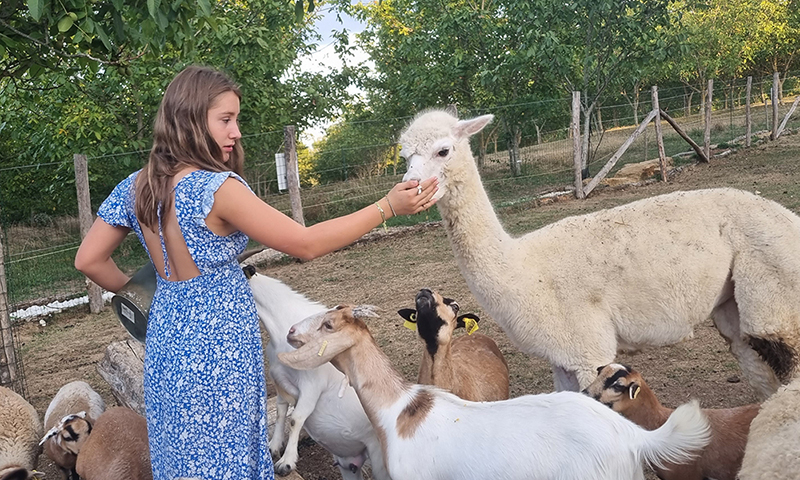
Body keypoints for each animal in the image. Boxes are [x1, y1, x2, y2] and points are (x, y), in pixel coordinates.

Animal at [245, 266, 392, 480]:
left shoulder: (311, 385)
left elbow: (296, 418)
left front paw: (286, 463)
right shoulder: (280, 382)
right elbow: (281, 411)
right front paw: (273, 447)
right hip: (346, 461)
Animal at [400, 109, 800, 398]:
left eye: (443, 150)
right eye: (405, 156)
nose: (410, 185)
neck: (523, 268)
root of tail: (788, 217)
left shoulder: (588, 348)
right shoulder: (562, 358)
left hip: (774, 294)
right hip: (734, 307)